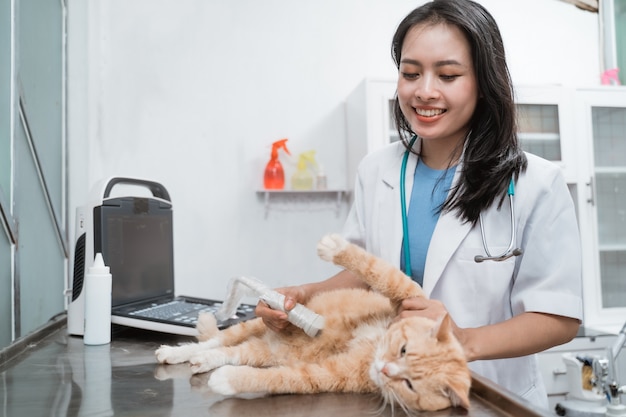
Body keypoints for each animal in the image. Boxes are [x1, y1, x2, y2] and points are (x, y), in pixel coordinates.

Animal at [155, 232, 468, 412]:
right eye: (403, 349)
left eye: (409, 384)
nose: (384, 368)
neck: (374, 344)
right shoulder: (410, 295)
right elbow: (378, 270)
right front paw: (335, 248)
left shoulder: (328, 375)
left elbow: (278, 378)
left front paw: (227, 380)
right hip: (256, 327)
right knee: (215, 340)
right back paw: (174, 353)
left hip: (269, 350)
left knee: (226, 352)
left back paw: (202, 362)